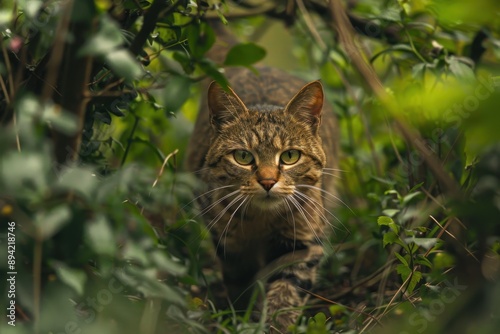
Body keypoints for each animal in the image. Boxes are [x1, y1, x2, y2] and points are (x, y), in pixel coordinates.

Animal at [186, 31, 342, 332]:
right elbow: (239, 280)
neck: (261, 220)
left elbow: (286, 291)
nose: (268, 181)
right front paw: (240, 314)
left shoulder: (303, 242)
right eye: (243, 156)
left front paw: (275, 323)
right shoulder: (229, 242)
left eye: (290, 156)